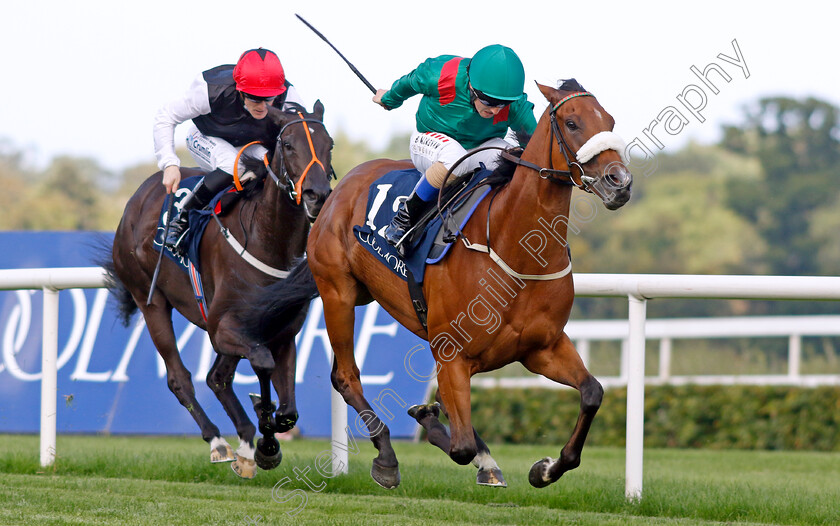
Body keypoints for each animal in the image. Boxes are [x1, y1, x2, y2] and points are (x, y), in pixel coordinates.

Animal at [107, 101, 334, 480]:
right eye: (289, 146)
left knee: (217, 378)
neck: (266, 239)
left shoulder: (281, 332)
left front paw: (265, 438)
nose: (317, 196)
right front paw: (266, 437)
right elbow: (262, 364)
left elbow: (288, 410)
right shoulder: (223, 328)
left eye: (329, 144)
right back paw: (218, 441)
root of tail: (140, 195)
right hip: (150, 300)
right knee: (180, 378)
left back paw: (244, 440)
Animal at [243, 82, 632, 490]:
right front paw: (434, 430)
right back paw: (386, 455)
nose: (620, 182)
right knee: (345, 377)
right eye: (572, 123)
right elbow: (459, 446)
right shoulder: (453, 353)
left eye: (609, 121)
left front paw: (545, 469)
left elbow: (592, 392)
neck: (514, 249)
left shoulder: (543, 348)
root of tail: (341, 186)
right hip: (338, 292)